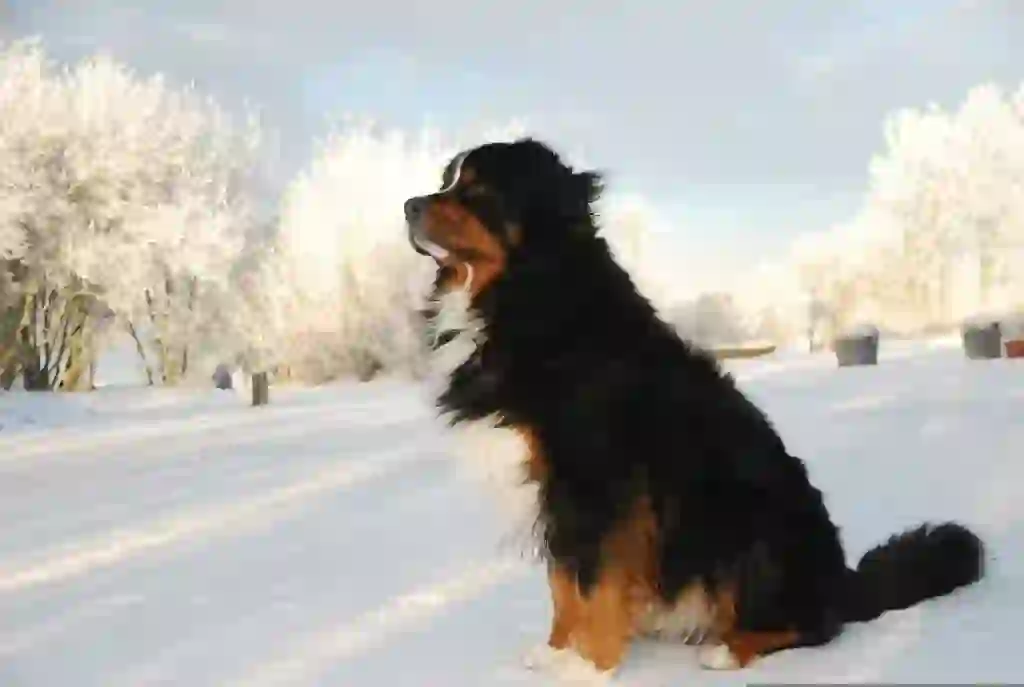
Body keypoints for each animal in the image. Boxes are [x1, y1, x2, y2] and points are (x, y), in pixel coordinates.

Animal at [403, 137, 987, 679]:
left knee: (816, 626)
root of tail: (842, 580)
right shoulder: (556, 493)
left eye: (476, 189)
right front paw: (556, 651)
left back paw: (730, 648)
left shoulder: (596, 484)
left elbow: (591, 582)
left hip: (752, 528)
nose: (409, 205)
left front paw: (588, 665)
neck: (527, 294)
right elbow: (563, 583)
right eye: (447, 179)